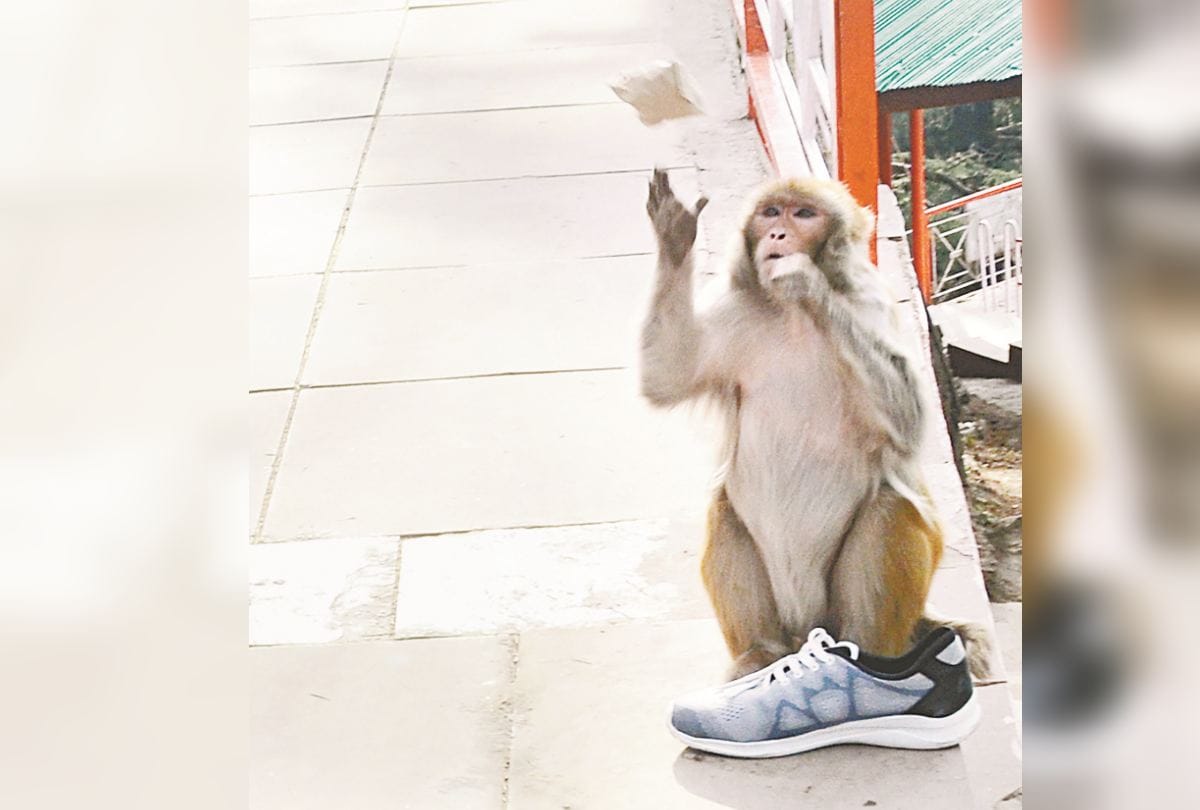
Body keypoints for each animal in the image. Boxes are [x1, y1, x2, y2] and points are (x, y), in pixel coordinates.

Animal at [640, 168, 995, 680]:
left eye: (803, 214)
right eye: (772, 212)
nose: (777, 235)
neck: (791, 317)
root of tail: (805, 627)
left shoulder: (870, 304)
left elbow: (907, 422)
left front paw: (805, 282)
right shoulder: (736, 311)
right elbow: (667, 375)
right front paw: (673, 234)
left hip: (848, 612)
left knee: (890, 507)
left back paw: (864, 656)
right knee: (726, 507)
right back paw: (758, 656)